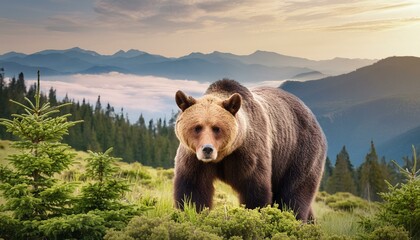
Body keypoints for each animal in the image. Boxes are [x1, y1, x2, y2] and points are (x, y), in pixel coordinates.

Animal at [172, 79, 326, 221]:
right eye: (197, 127)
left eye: (217, 128)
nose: (207, 149)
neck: (224, 155)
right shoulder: (193, 158)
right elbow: (193, 189)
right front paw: (192, 213)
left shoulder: (248, 154)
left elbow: (255, 190)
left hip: (298, 153)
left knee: (294, 194)